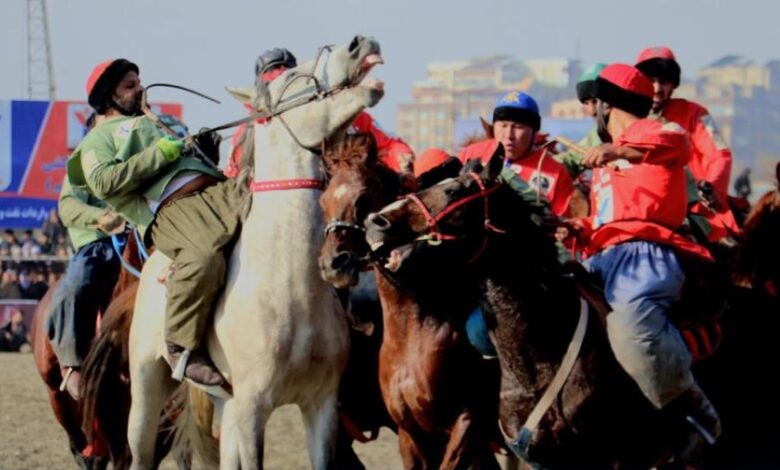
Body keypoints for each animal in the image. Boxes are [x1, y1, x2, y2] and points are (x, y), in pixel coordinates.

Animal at [127, 35, 386, 470]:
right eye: (293, 77)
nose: (359, 43)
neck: (289, 291)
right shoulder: (252, 409)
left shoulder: (321, 406)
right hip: (148, 386)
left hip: (225, 406)